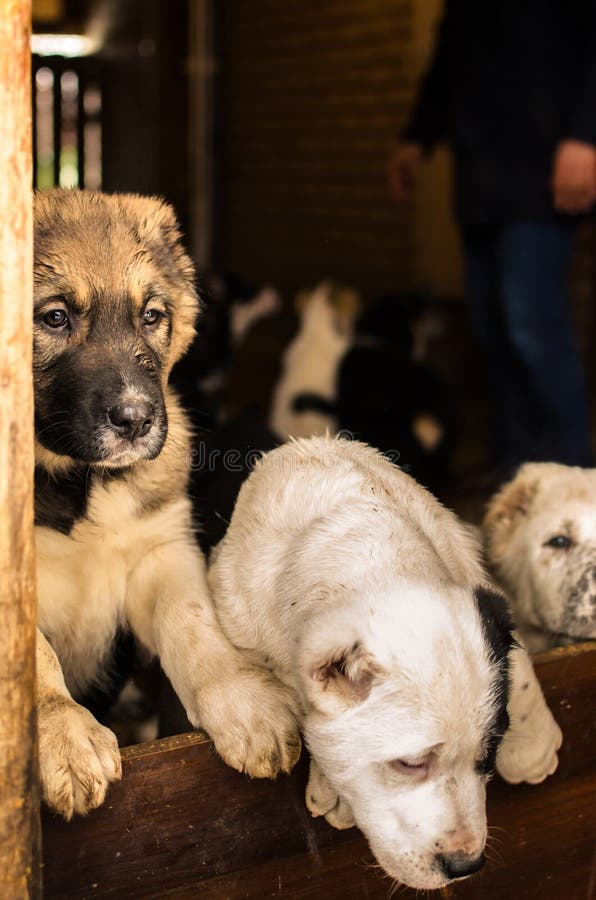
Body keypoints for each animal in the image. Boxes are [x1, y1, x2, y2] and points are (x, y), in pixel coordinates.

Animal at [33, 190, 302, 824]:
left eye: (151, 316)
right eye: (54, 318)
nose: (136, 421)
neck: (79, 482)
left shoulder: (161, 551)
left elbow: (195, 624)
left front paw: (248, 704)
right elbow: (34, 660)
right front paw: (65, 736)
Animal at [208, 438, 564, 892]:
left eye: (488, 755)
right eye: (409, 764)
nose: (466, 865)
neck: (374, 559)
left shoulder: (468, 568)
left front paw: (530, 741)